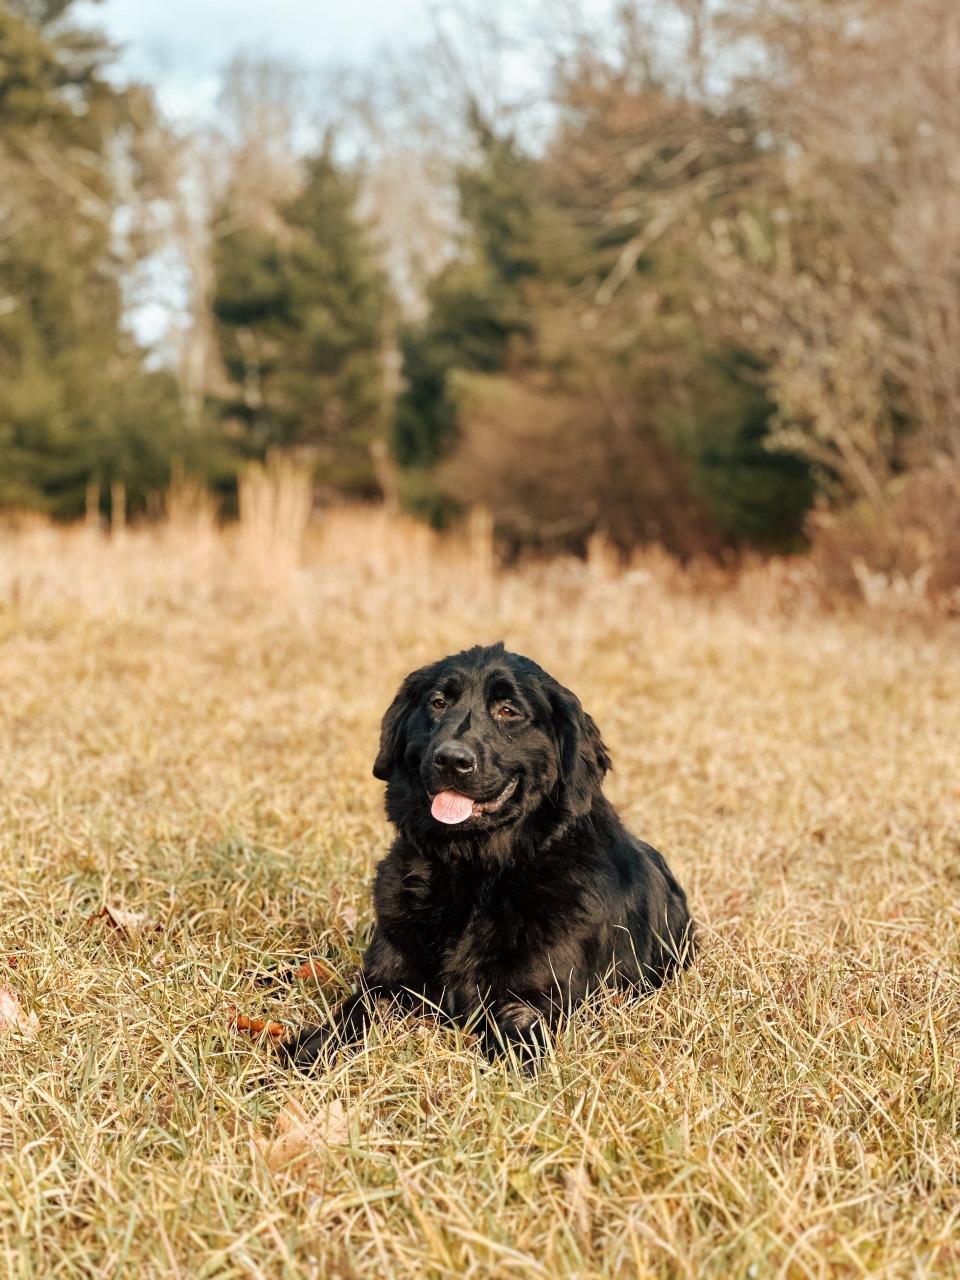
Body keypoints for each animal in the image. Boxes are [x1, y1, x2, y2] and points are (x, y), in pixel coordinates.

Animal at [281, 645, 696, 1064]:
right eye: (438, 702)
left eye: (508, 710)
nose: (452, 760)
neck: (475, 872)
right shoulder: (385, 983)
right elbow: (348, 1020)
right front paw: (303, 1056)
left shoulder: (532, 1000)